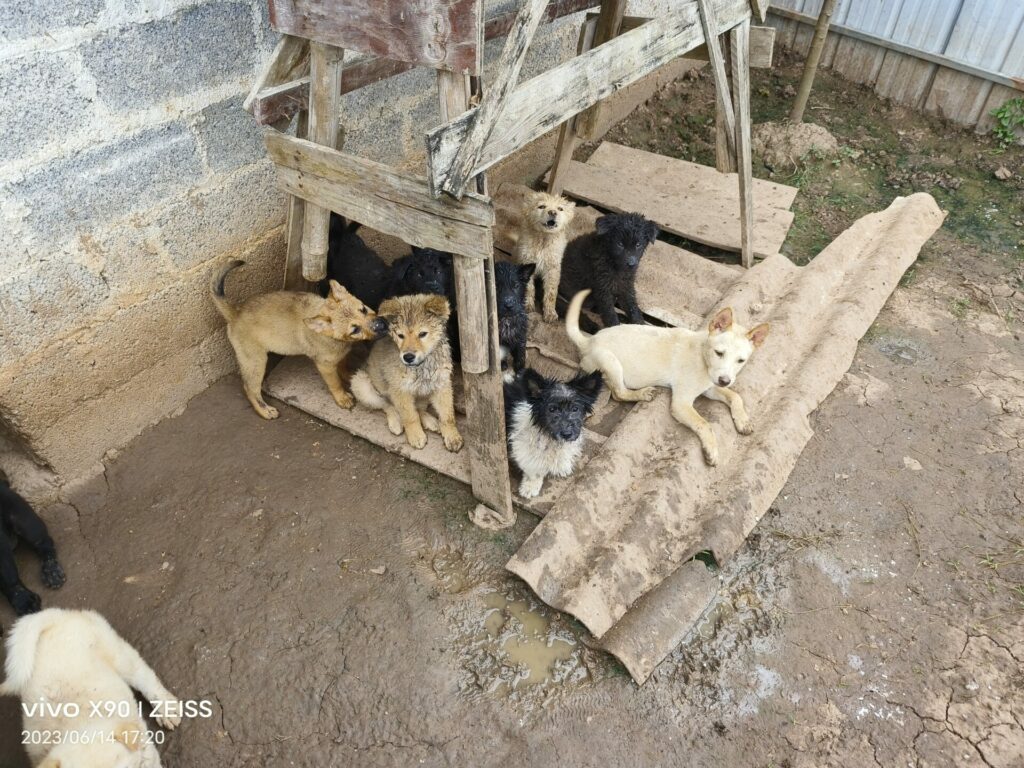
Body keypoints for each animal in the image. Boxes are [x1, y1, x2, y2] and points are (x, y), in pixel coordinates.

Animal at [2, 606, 182, 768]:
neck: (78, 724)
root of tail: (55, 616)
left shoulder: (148, 756)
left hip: (119, 655)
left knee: (146, 678)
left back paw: (167, 710)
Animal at [501, 366, 598, 499]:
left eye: (575, 409)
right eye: (551, 409)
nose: (567, 434)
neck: (549, 436)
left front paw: (563, 464)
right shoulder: (522, 446)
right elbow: (533, 469)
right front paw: (530, 486)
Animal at [512, 193, 577, 325]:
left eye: (560, 209)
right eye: (541, 206)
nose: (553, 212)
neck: (544, 239)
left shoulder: (553, 269)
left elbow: (551, 292)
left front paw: (550, 313)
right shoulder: (526, 261)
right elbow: (529, 287)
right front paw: (528, 305)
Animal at [569, 290, 770, 466]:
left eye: (741, 361)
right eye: (719, 353)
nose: (724, 380)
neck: (702, 355)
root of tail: (588, 341)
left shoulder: (710, 386)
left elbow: (735, 396)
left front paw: (743, 420)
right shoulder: (681, 403)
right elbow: (704, 424)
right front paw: (711, 450)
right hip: (611, 362)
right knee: (619, 393)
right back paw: (641, 394)